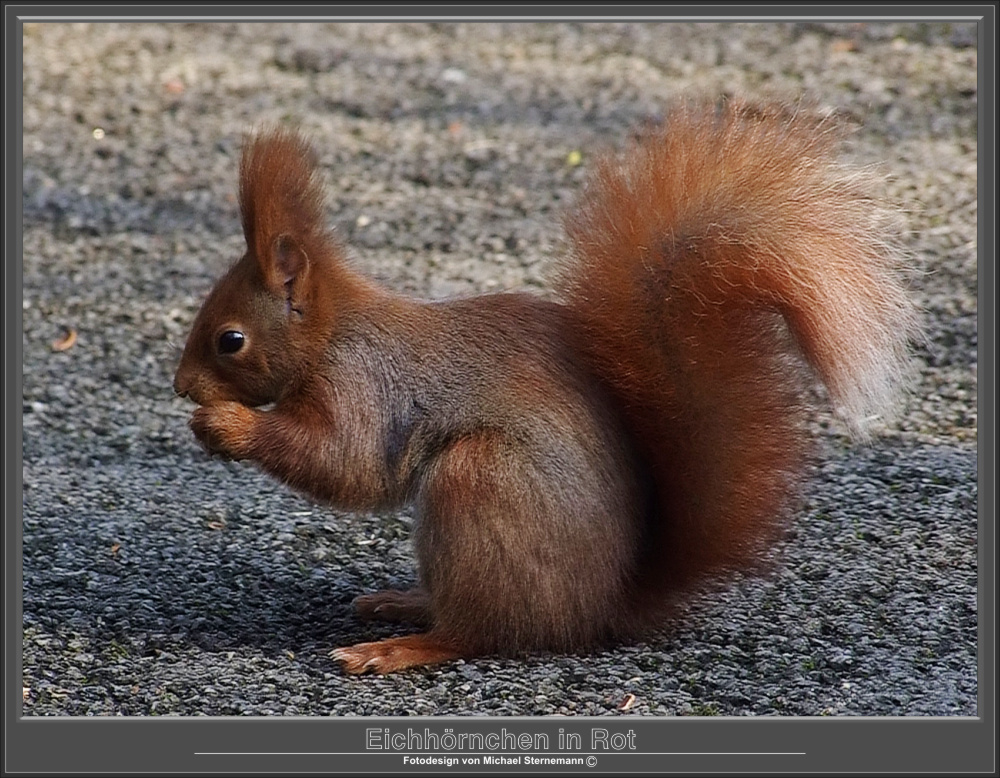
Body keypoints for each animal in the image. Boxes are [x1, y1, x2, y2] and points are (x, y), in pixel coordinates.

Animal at [174, 98, 920, 672]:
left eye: (230, 340)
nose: (181, 387)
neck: (333, 334)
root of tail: (601, 606)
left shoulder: (364, 387)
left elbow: (345, 464)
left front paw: (228, 424)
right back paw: (406, 601)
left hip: (482, 483)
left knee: (480, 633)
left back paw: (402, 646)